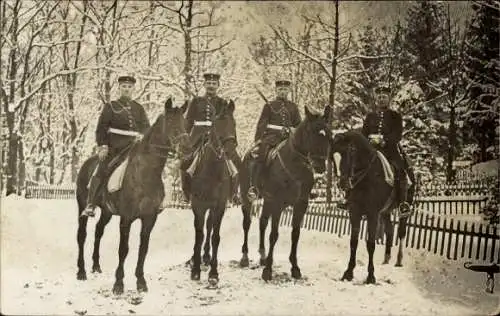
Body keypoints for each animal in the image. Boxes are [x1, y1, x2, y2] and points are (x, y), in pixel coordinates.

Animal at [75, 97, 188, 296]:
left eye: (184, 122)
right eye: (171, 123)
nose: (188, 148)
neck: (146, 172)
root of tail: (87, 163)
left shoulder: (149, 218)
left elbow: (143, 249)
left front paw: (141, 282)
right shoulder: (126, 218)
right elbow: (123, 249)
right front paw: (118, 284)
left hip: (107, 212)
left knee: (98, 231)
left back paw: (95, 265)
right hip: (82, 205)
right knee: (82, 235)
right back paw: (81, 271)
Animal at [188, 102, 236, 286]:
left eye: (233, 123)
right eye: (218, 125)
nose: (230, 151)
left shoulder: (219, 207)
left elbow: (215, 236)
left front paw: (214, 274)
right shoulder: (198, 206)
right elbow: (198, 235)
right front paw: (195, 270)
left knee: (209, 227)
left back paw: (206, 257)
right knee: (201, 230)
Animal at [238, 106, 332, 282]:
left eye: (329, 134)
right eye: (312, 132)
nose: (320, 166)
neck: (295, 166)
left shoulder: (301, 204)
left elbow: (295, 234)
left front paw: (295, 268)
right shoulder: (277, 203)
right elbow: (274, 234)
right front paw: (268, 271)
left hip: (267, 201)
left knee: (262, 223)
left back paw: (262, 256)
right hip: (248, 198)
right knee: (247, 223)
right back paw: (245, 257)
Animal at [330, 130, 416, 286]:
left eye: (350, 152)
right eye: (333, 156)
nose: (343, 184)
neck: (367, 176)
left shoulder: (372, 214)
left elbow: (370, 244)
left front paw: (371, 276)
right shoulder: (354, 212)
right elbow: (353, 242)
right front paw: (348, 273)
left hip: (404, 207)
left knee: (401, 231)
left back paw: (399, 260)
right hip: (386, 211)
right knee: (389, 229)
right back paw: (386, 258)